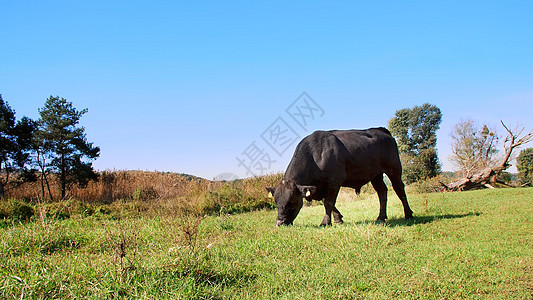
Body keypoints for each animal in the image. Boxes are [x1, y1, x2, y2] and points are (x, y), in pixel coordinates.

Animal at [268, 127, 414, 226]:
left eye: (291, 200)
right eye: (276, 201)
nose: (279, 222)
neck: (315, 154)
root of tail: (380, 130)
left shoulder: (335, 180)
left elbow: (328, 202)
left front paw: (326, 222)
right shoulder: (321, 186)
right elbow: (328, 202)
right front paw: (338, 219)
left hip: (394, 169)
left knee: (399, 189)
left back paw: (408, 214)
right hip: (376, 175)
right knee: (382, 192)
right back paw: (381, 217)